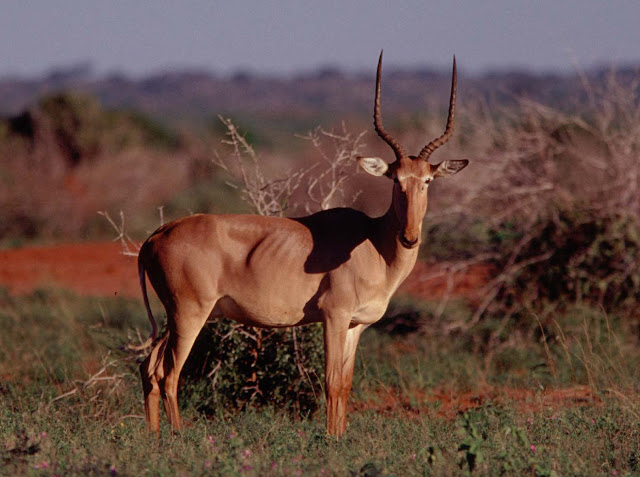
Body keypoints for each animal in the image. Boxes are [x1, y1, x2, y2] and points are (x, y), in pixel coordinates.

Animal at [138, 51, 470, 436]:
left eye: (427, 180)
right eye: (395, 179)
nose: (410, 237)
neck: (373, 242)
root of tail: (158, 234)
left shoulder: (356, 325)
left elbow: (345, 383)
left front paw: (340, 437)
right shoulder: (333, 316)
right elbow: (329, 381)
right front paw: (330, 438)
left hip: (173, 317)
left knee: (149, 367)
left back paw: (154, 436)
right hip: (189, 315)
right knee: (169, 374)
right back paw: (177, 436)